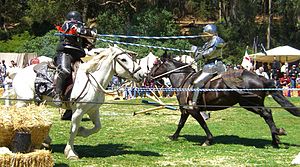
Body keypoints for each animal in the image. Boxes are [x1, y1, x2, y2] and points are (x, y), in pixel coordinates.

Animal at [13, 45, 145, 159]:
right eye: (123, 59)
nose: (141, 74)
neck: (93, 82)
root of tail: (19, 73)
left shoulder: (93, 110)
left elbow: (97, 127)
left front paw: (82, 132)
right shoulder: (78, 111)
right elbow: (74, 129)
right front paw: (71, 152)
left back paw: (46, 140)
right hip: (23, 101)